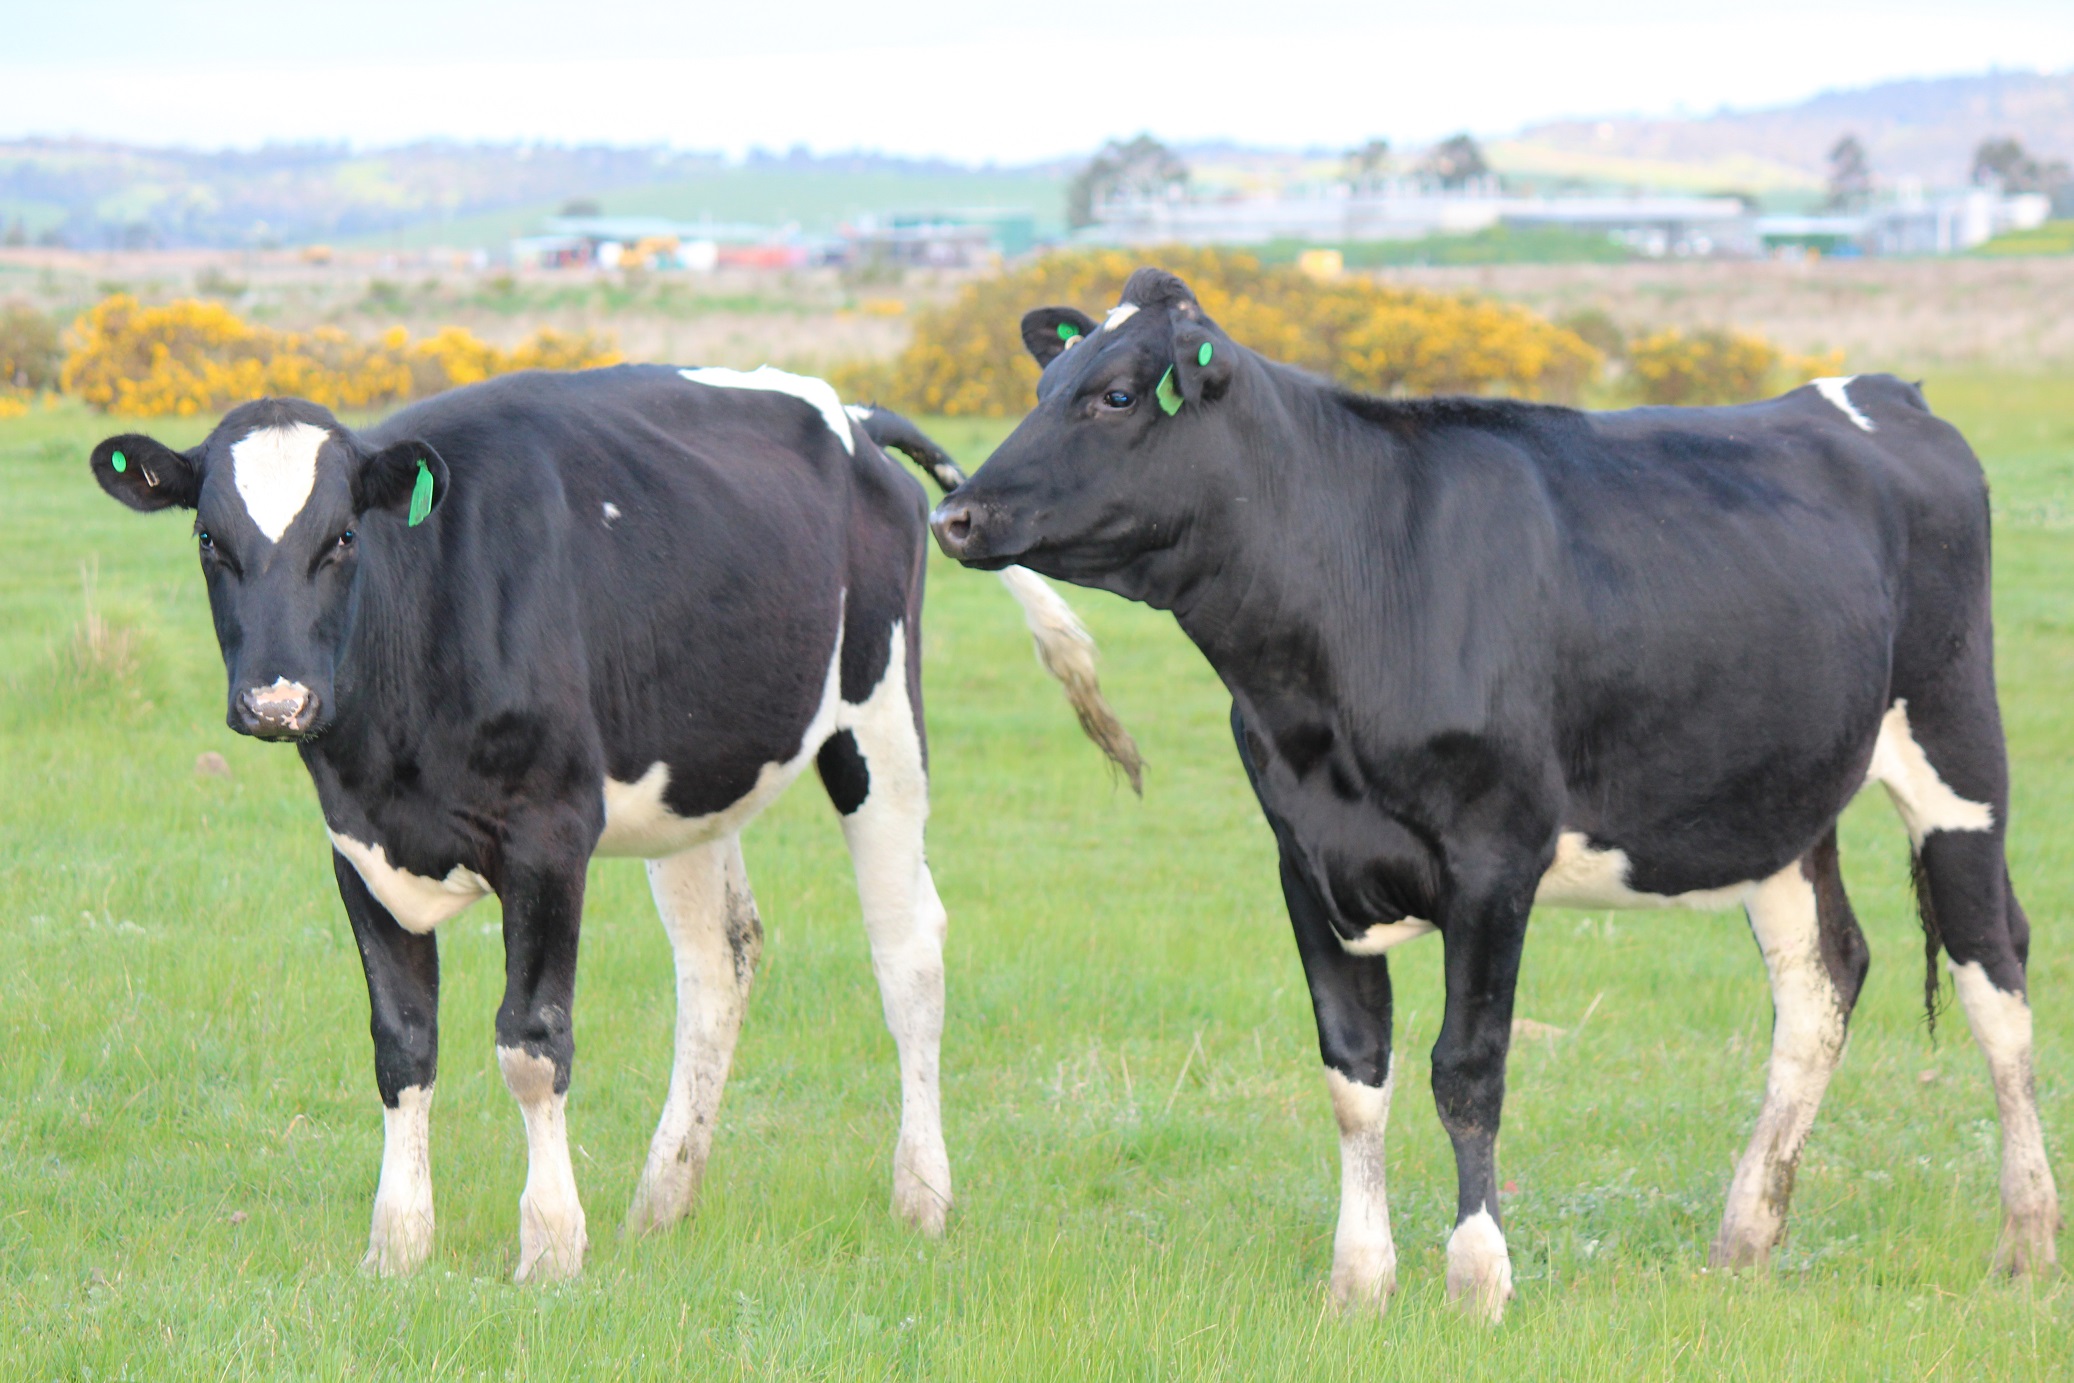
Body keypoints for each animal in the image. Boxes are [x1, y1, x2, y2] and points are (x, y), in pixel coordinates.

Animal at [89, 363, 1140, 1282]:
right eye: (209, 541)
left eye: (343, 536)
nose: (278, 700)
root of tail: (847, 410)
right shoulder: (357, 843)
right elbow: (402, 1046)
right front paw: (398, 1247)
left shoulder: (551, 833)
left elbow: (531, 1042)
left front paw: (551, 1245)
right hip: (694, 782)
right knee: (720, 961)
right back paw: (662, 1199)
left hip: (877, 723)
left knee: (909, 951)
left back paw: (921, 1196)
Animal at [927, 267, 2061, 1321]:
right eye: (1046, 381)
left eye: (1116, 395)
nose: (956, 513)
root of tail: (1877, 390)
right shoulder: (1304, 858)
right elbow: (1354, 1072)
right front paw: (1359, 1282)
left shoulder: (1492, 856)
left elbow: (1466, 1070)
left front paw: (1477, 1277)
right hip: (1776, 797)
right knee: (1822, 978)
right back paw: (1744, 1238)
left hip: (1956, 745)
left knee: (1992, 972)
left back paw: (2027, 1236)